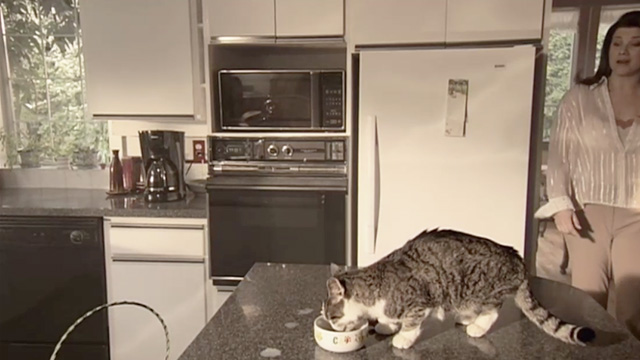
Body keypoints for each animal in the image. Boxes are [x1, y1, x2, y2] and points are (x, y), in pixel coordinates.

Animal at [322, 228, 596, 348]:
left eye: (333, 317)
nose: (333, 327)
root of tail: (517, 258)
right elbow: (389, 318)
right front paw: (387, 325)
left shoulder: (419, 302)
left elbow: (411, 323)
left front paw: (403, 337)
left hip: (479, 289)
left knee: (493, 310)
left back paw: (477, 326)